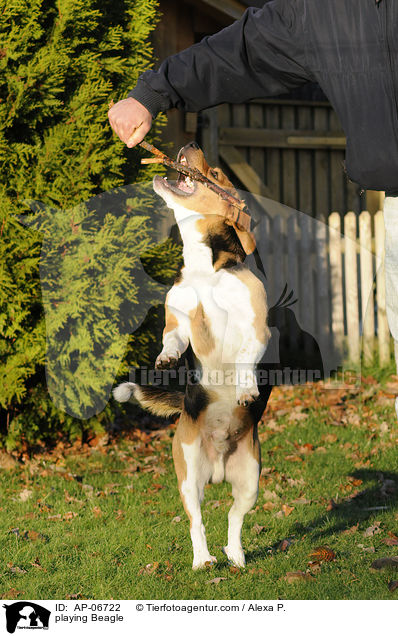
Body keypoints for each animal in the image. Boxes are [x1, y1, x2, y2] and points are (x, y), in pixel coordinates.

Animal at [115, 145, 270, 572]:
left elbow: (245, 356)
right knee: (197, 521)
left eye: (215, 173)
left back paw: (235, 554)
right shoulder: (177, 319)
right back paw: (203, 559)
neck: (205, 269)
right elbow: (171, 339)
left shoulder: (256, 327)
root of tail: (217, 469)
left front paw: (246, 390)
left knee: (234, 517)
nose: (189, 147)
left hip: (250, 478)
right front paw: (167, 359)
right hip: (187, 479)